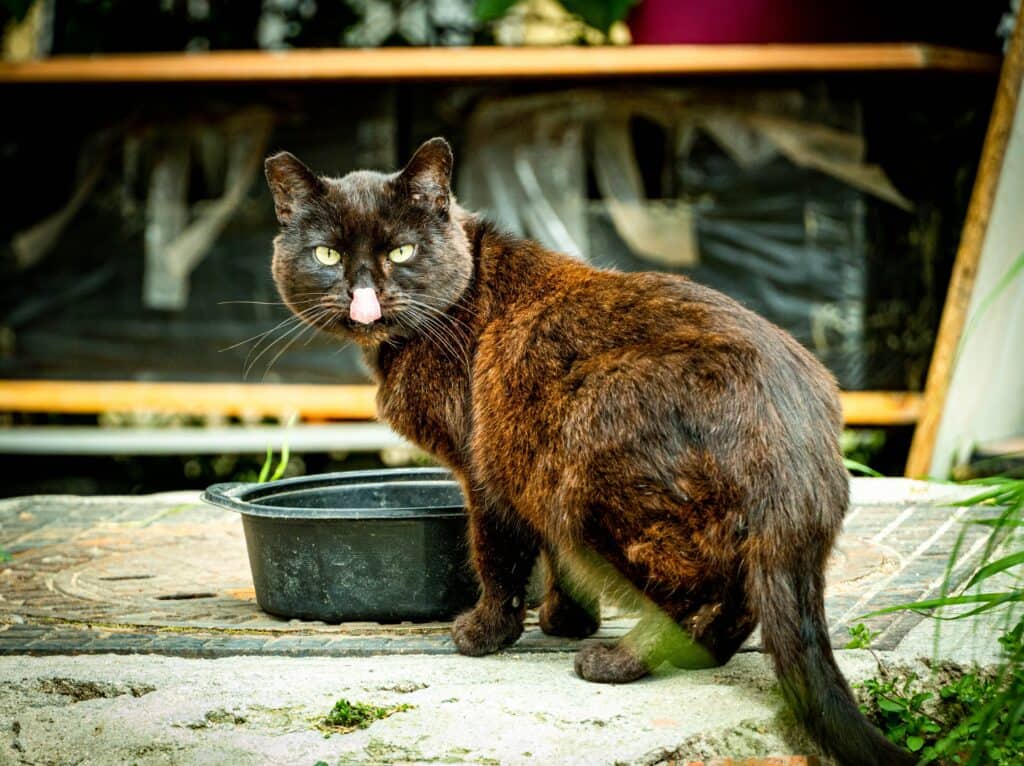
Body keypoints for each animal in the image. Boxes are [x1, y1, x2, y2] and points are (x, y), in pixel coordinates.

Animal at [264, 137, 913, 766]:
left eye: (401, 251)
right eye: (327, 255)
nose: (363, 292)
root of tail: (797, 451)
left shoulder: (486, 469)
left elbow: (499, 558)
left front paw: (487, 634)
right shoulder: (528, 457)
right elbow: (554, 558)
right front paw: (566, 621)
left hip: (593, 463)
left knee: (694, 589)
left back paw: (620, 662)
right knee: (738, 597)